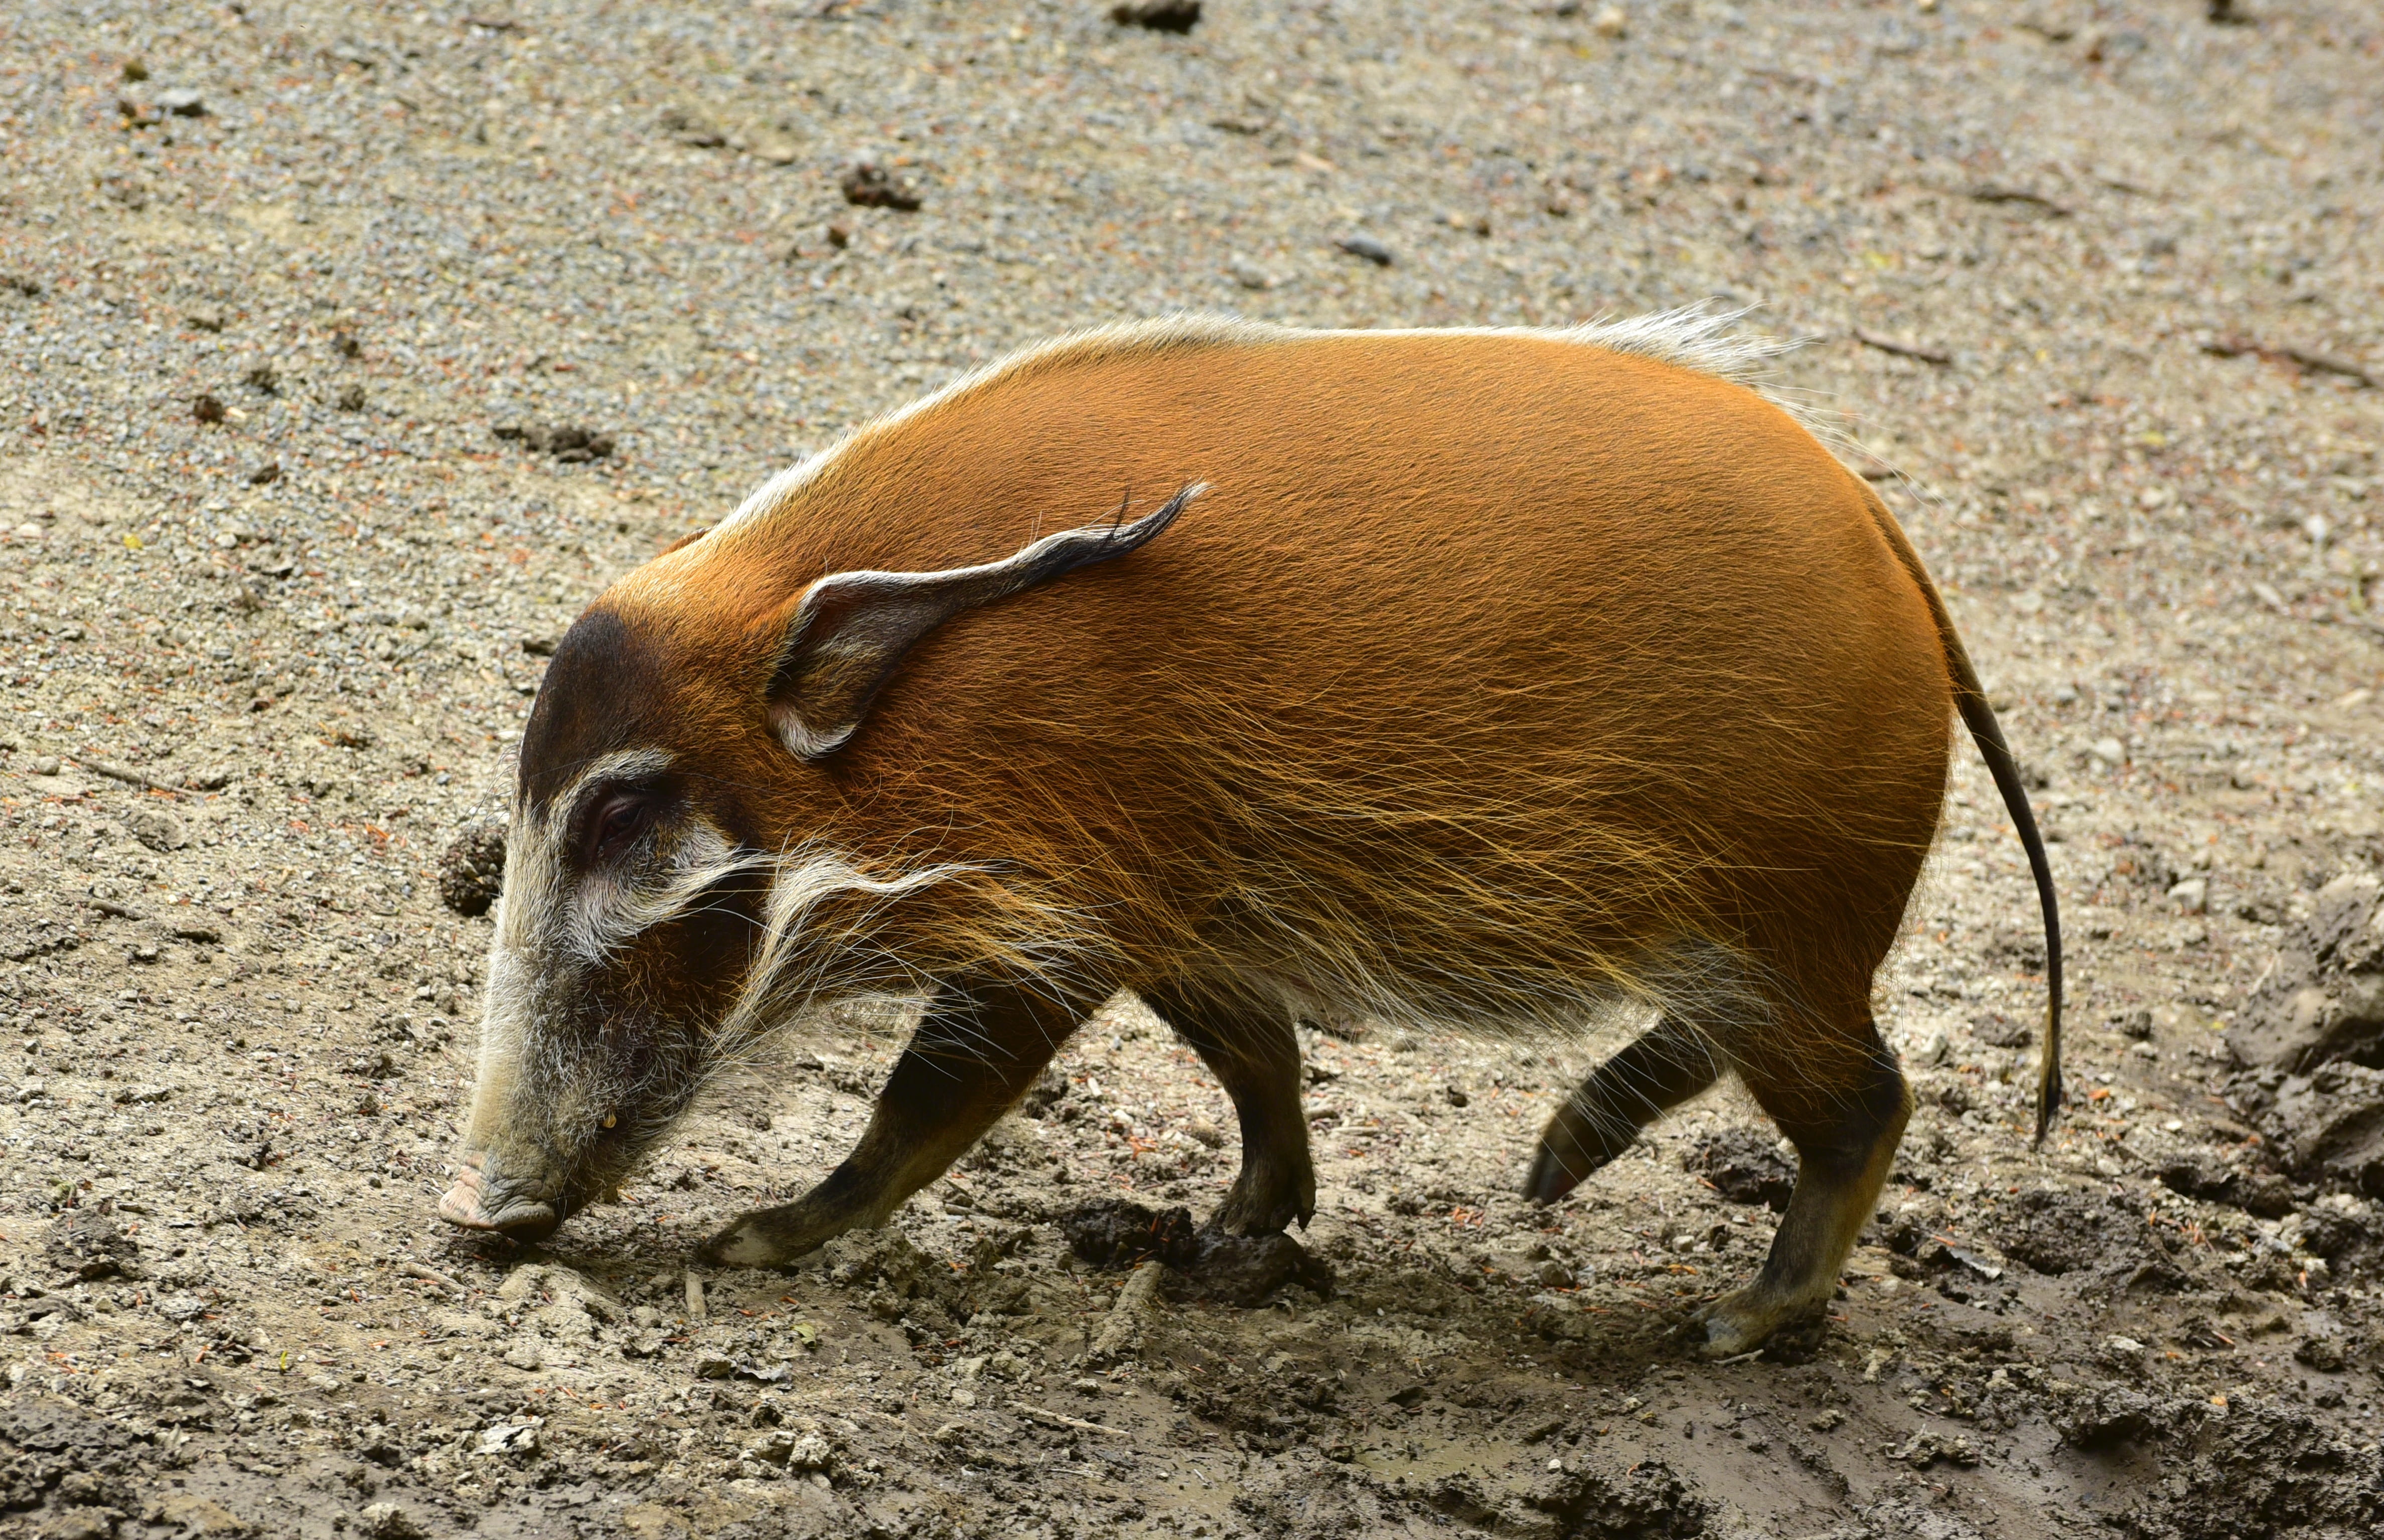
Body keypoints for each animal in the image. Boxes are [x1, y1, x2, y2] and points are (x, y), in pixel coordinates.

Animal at [439, 309, 2060, 1356]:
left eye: (626, 812)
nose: (466, 1208)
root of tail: (1891, 548)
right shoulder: (1179, 909)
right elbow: (1256, 1059)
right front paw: (1240, 1234)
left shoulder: (1061, 911)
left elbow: (932, 1095)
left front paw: (751, 1238)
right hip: (1761, 939)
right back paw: (1549, 1168)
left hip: (1785, 932)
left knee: (1869, 1102)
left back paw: (1733, 1321)